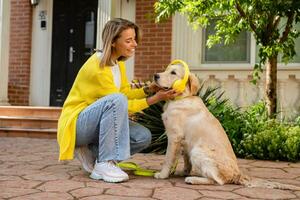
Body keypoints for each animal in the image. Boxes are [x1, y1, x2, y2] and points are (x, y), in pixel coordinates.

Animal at [154, 64, 298, 191]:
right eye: (165, 69)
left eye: (173, 73)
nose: (155, 75)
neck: (181, 98)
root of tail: (237, 174)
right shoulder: (184, 142)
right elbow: (186, 161)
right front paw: (183, 171)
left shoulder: (174, 137)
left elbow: (168, 159)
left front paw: (162, 175)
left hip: (198, 151)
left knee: (218, 180)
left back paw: (193, 179)